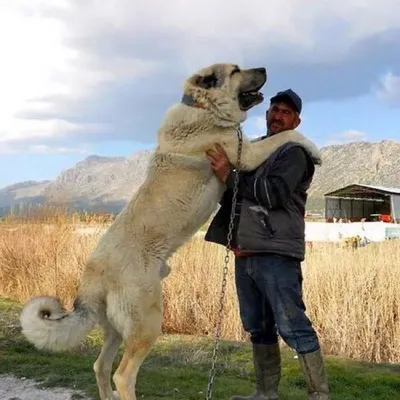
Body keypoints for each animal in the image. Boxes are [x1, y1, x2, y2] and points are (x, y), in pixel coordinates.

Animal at [19, 64, 322, 398]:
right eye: (236, 70)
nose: (265, 68)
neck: (203, 107)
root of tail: (92, 276)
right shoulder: (246, 155)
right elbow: (287, 135)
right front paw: (314, 150)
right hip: (147, 322)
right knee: (123, 374)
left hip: (116, 329)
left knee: (100, 366)